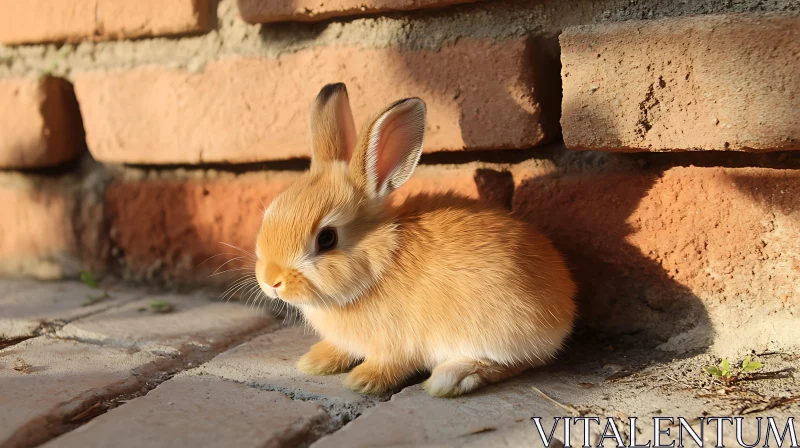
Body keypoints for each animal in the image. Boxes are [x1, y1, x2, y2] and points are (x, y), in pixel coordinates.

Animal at [256, 83, 576, 396]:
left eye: (326, 239)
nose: (271, 281)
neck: (379, 265)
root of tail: (564, 307)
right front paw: (316, 362)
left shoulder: (398, 344)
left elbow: (392, 363)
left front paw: (364, 380)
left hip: (499, 331)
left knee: (512, 363)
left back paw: (450, 379)